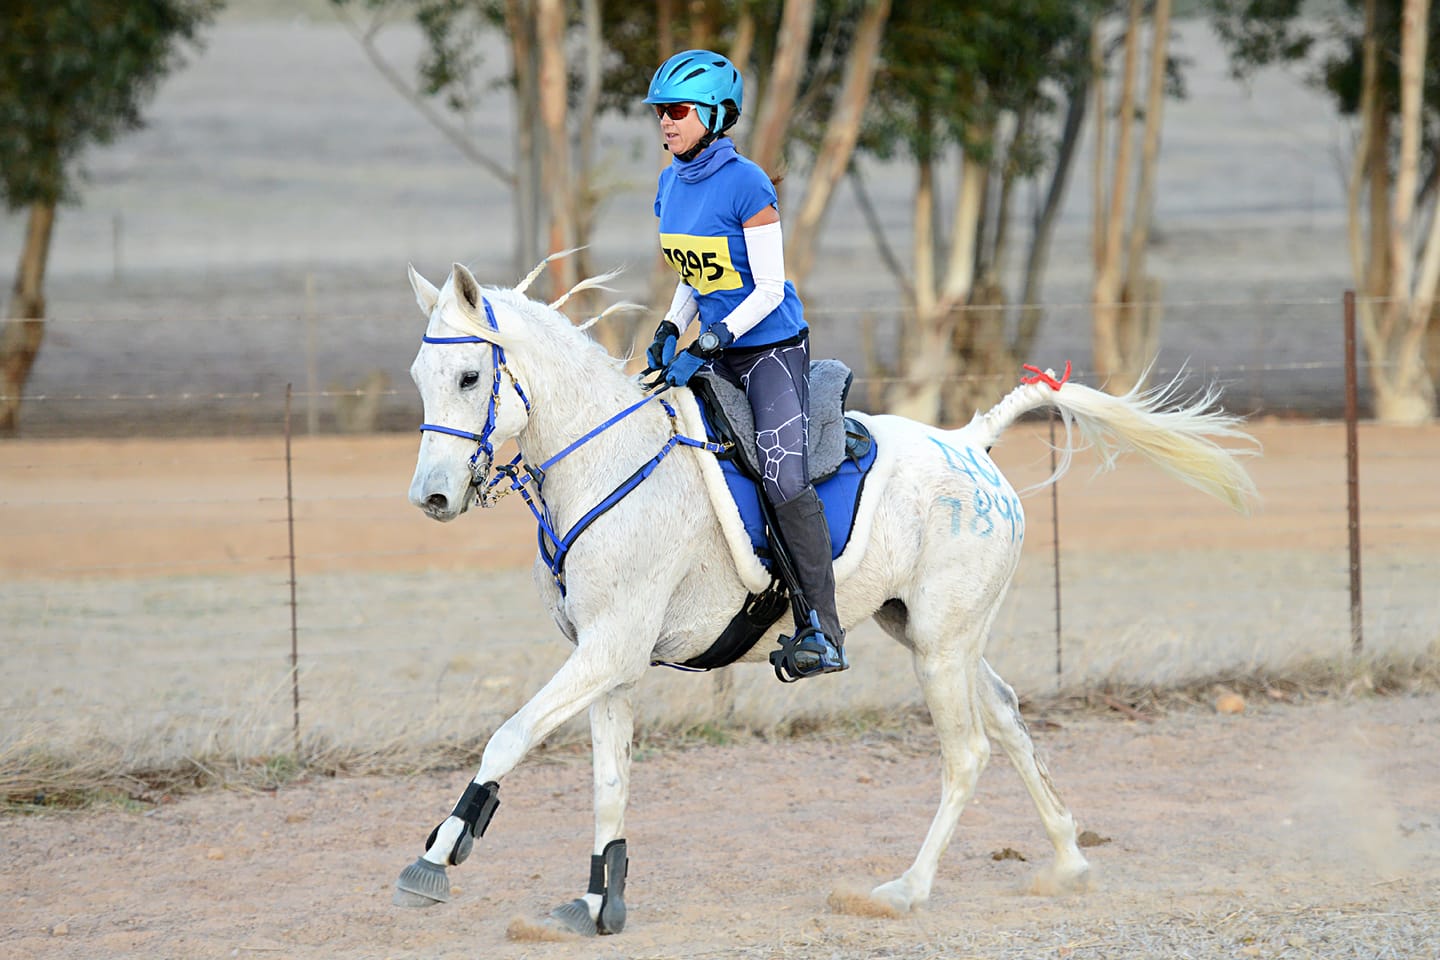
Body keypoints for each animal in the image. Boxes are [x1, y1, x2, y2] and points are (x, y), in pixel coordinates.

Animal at [393, 259, 1258, 935]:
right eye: (420, 380)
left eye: (470, 376)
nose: (430, 497)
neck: (609, 458)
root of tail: (970, 444)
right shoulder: (608, 658)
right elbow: (610, 784)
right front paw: (599, 901)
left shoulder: (610, 649)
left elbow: (507, 737)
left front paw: (436, 854)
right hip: (935, 635)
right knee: (1011, 723)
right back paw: (1069, 861)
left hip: (940, 649)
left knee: (968, 753)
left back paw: (904, 891)